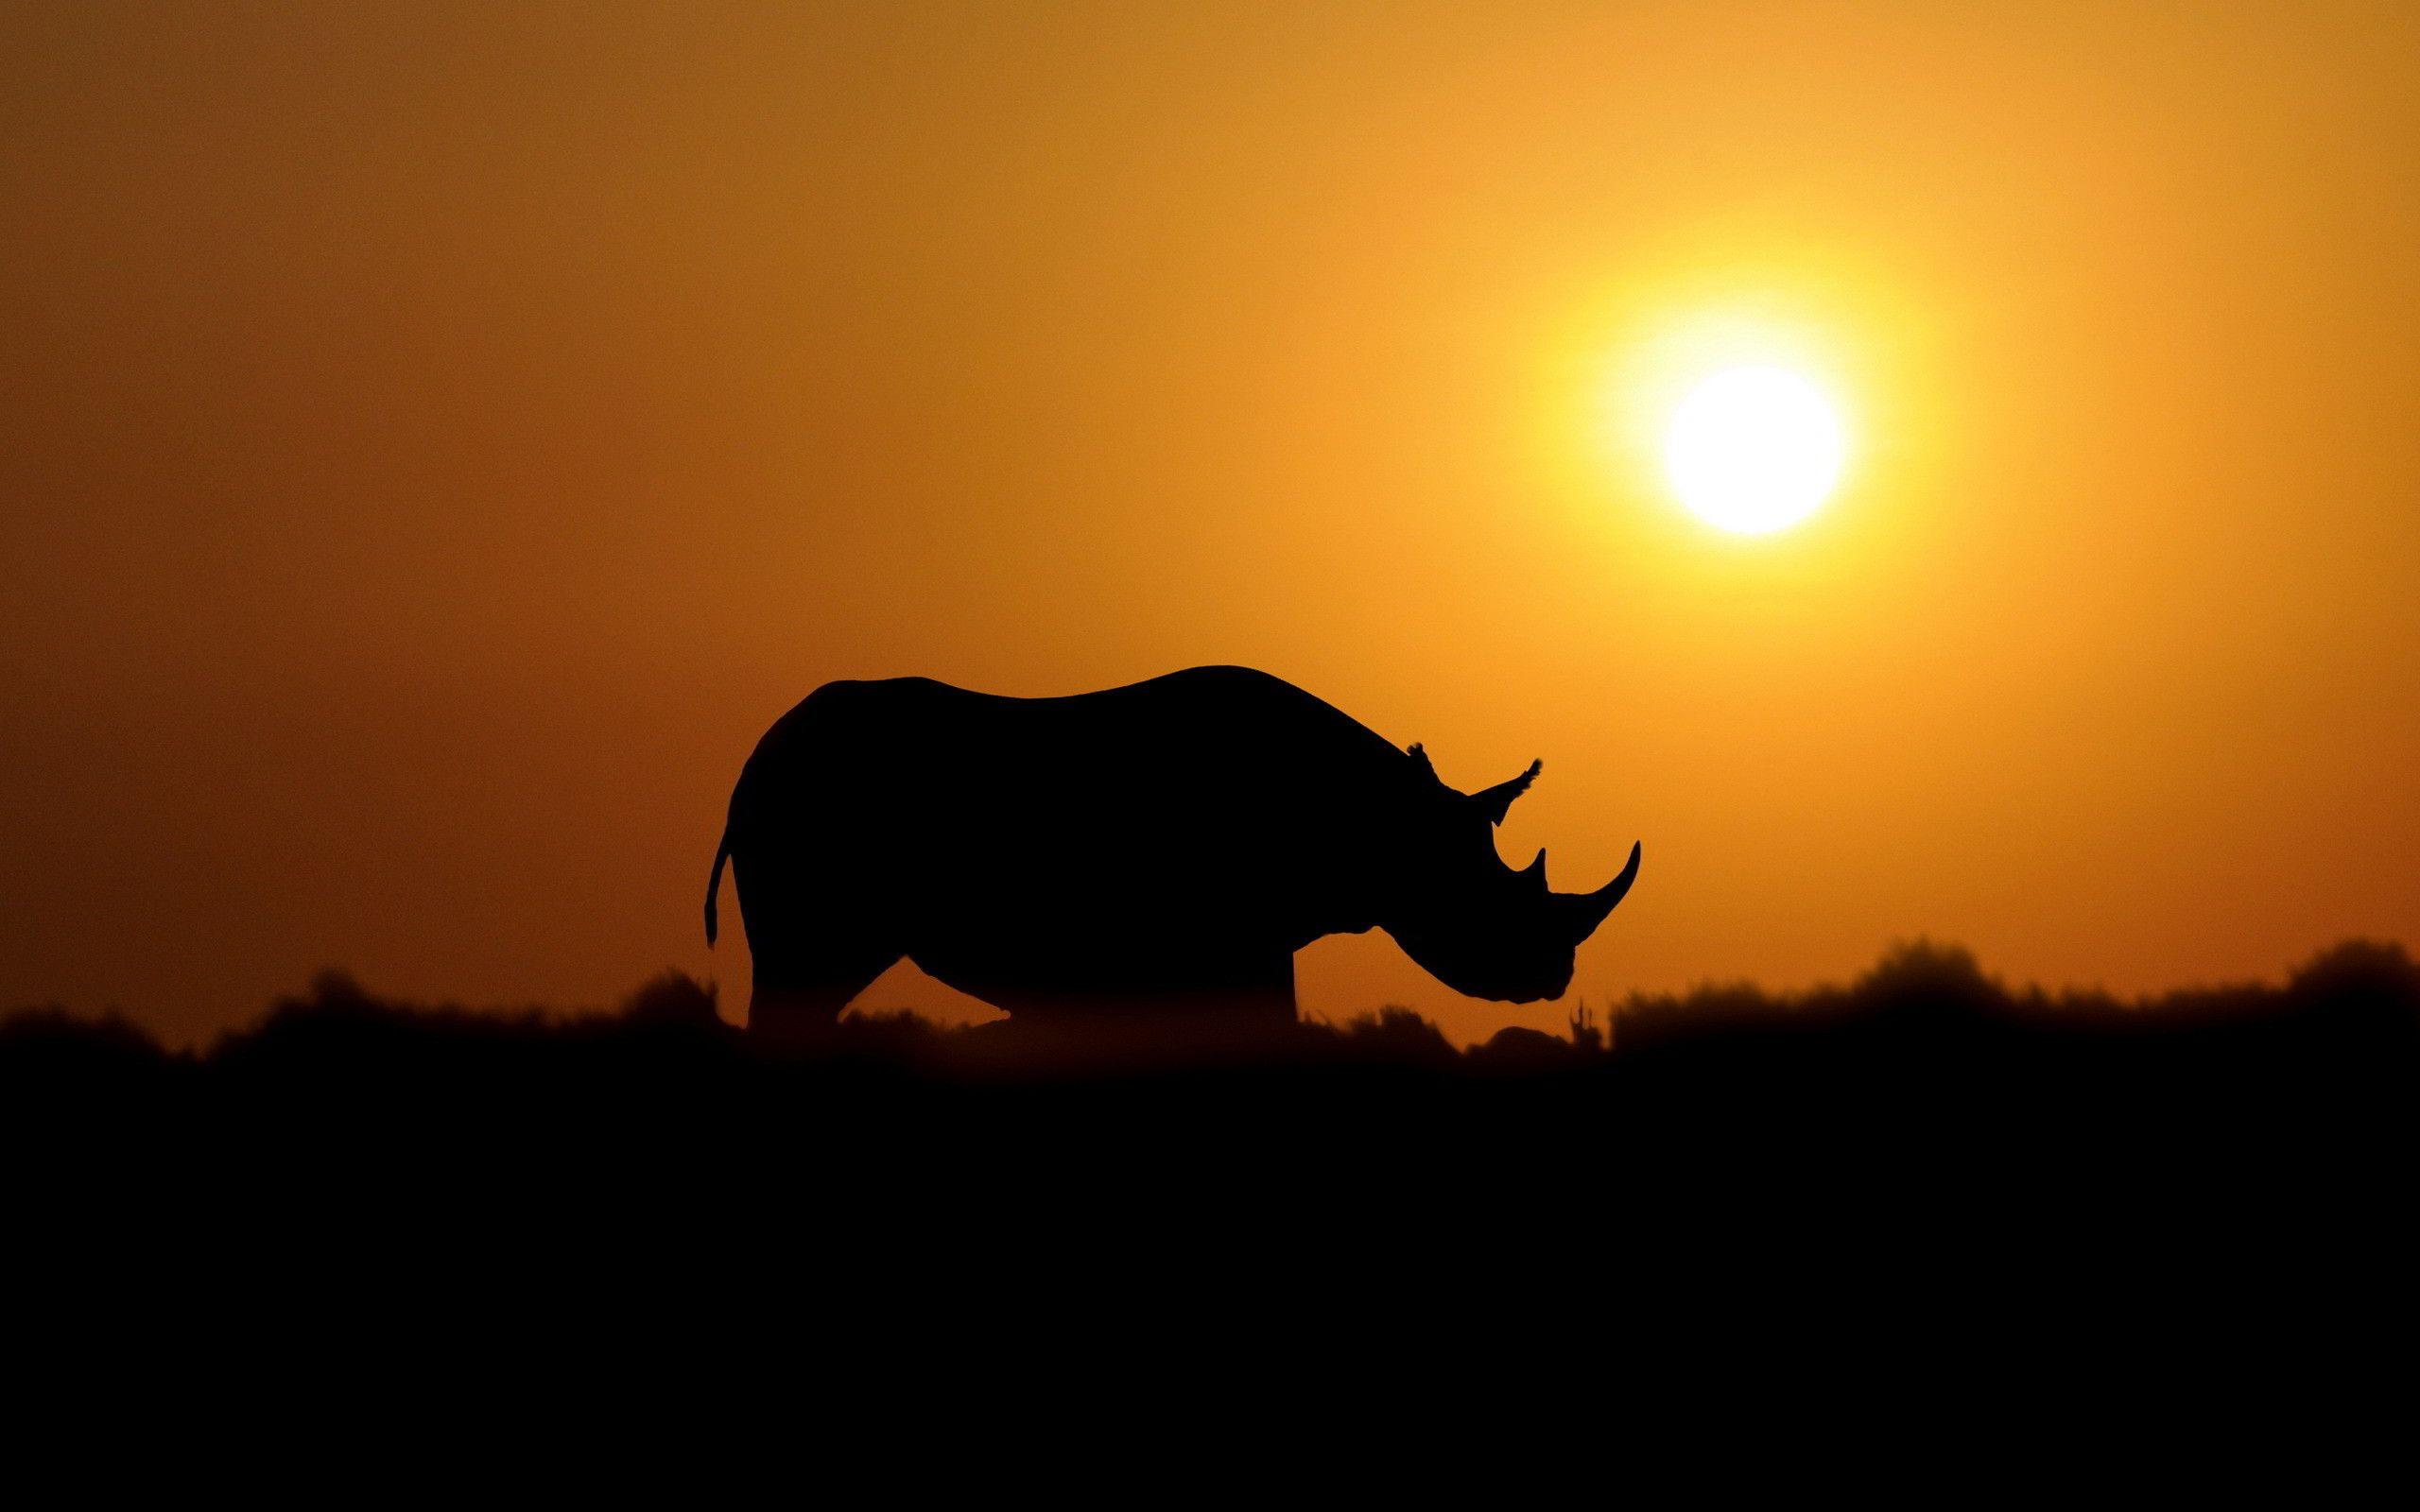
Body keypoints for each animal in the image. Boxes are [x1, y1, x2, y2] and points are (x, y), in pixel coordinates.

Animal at [704, 666, 1639, 1040]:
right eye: (1486, 903)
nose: (1553, 976)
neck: (1385, 822)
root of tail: (752, 762)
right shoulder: (1234, 939)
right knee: (803, 977)